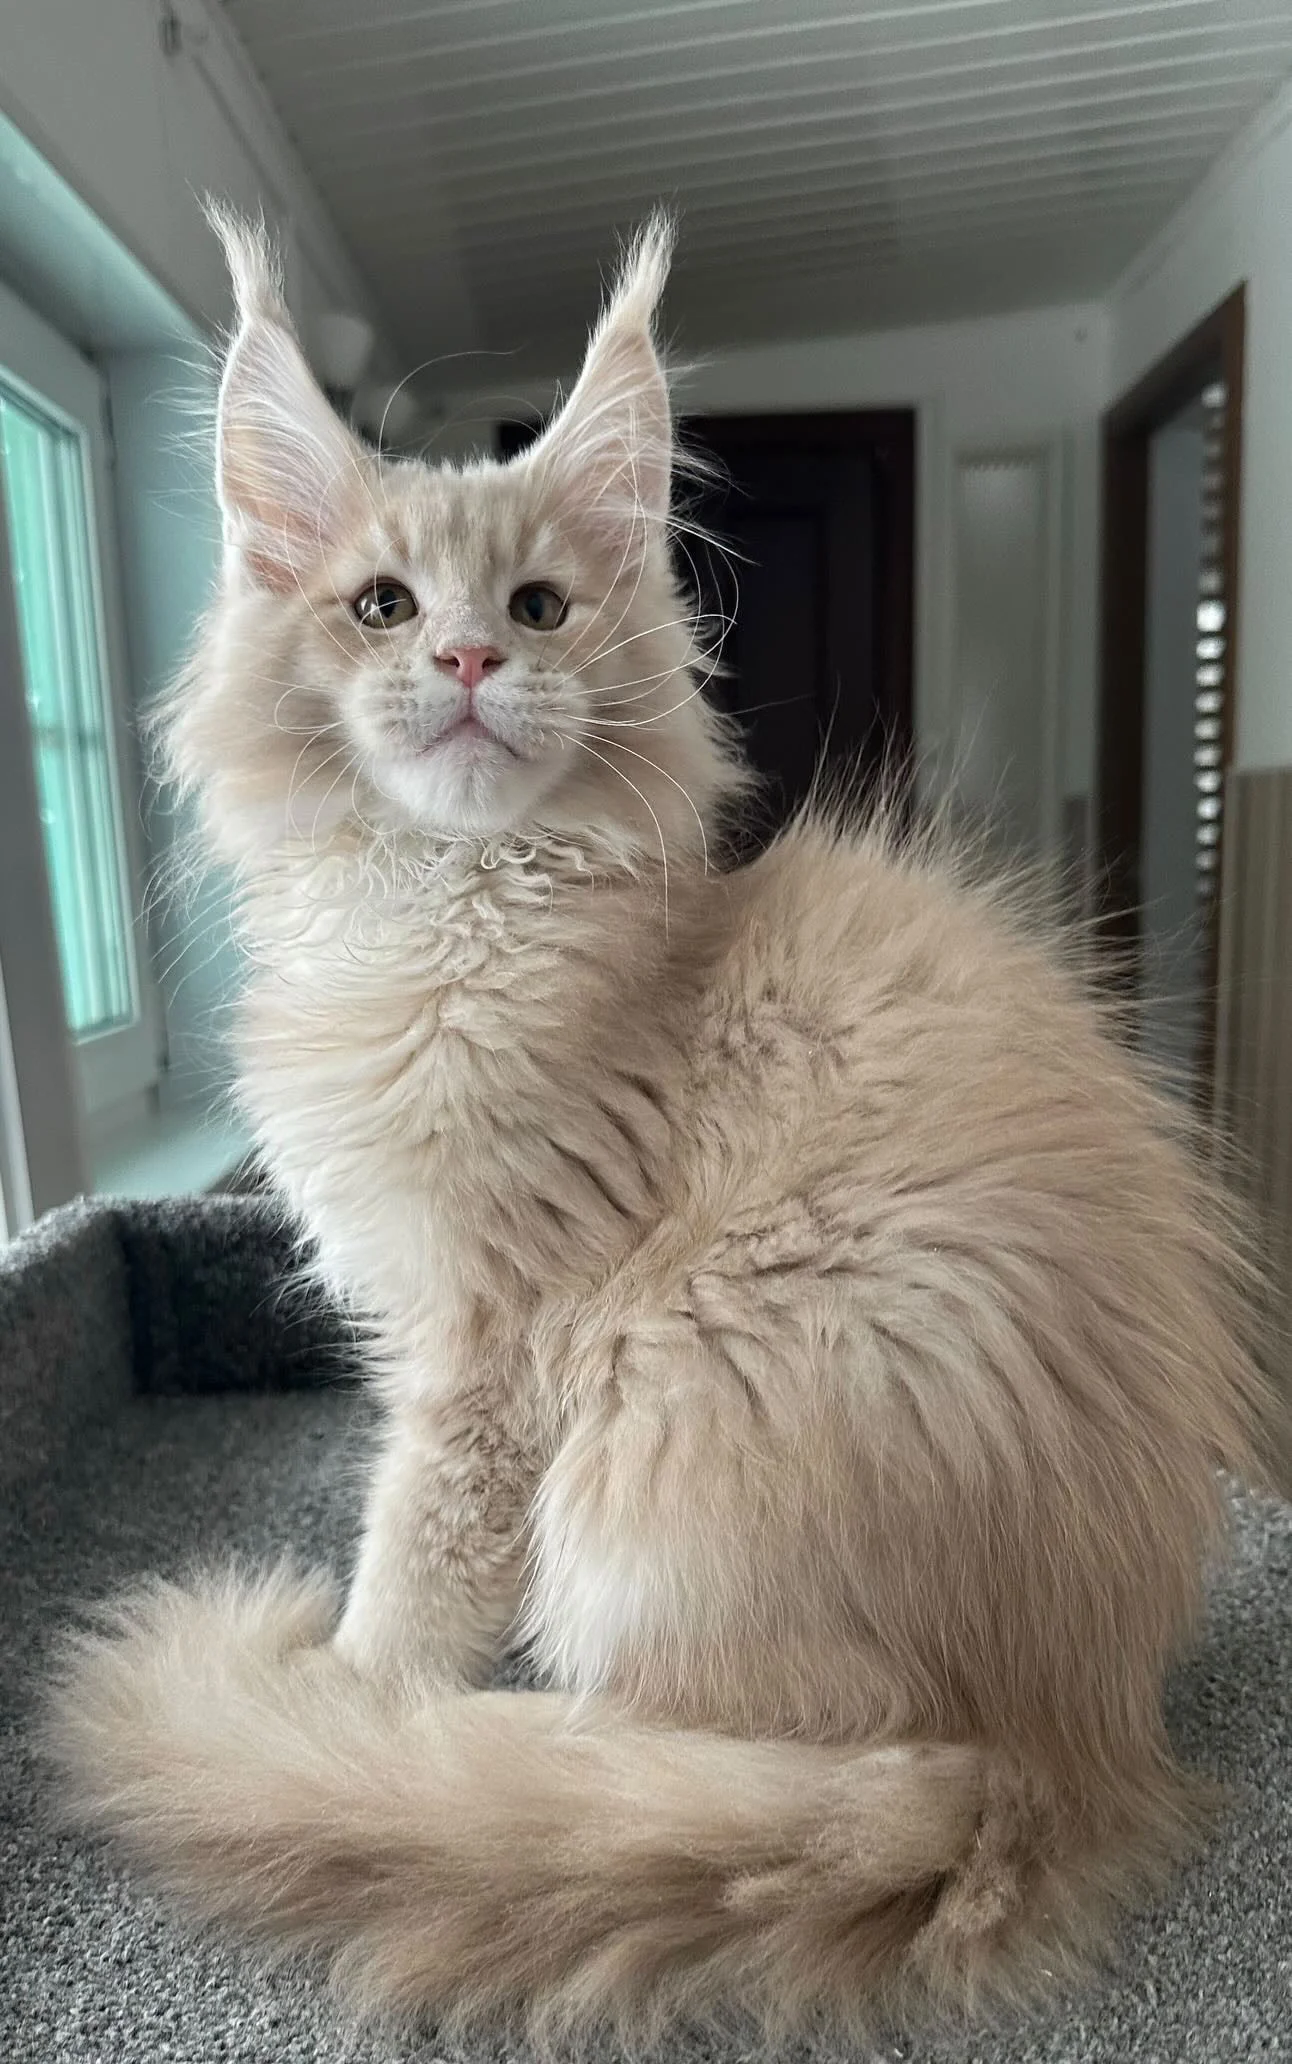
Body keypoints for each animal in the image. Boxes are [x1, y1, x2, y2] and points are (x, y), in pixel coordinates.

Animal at [42, 213, 1271, 2047]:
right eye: (384, 605)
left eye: (539, 606)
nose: (472, 660)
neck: (452, 917)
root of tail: (1073, 1738)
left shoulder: (485, 1358)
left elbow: (409, 1575)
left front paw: (345, 1709)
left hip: (669, 1408)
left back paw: (485, 1760)